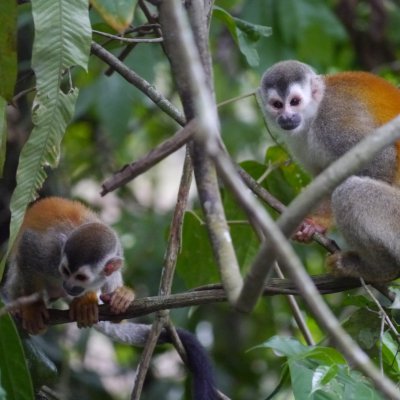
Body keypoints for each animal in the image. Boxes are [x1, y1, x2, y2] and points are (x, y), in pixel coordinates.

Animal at [1, 197, 219, 400]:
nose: (68, 286)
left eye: (80, 277)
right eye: (65, 271)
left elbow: (112, 271)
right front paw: (32, 308)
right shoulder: (47, 252)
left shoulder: (115, 255)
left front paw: (96, 299)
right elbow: (26, 253)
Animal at [260, 61, 400, 282]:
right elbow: (324, 178)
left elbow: (382, 159)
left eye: (295, 101)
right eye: (277, 105)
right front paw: (317, 224)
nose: (286, 117)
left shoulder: (332, 122)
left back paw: (379, 269)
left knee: (350, 192)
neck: (313, 115)